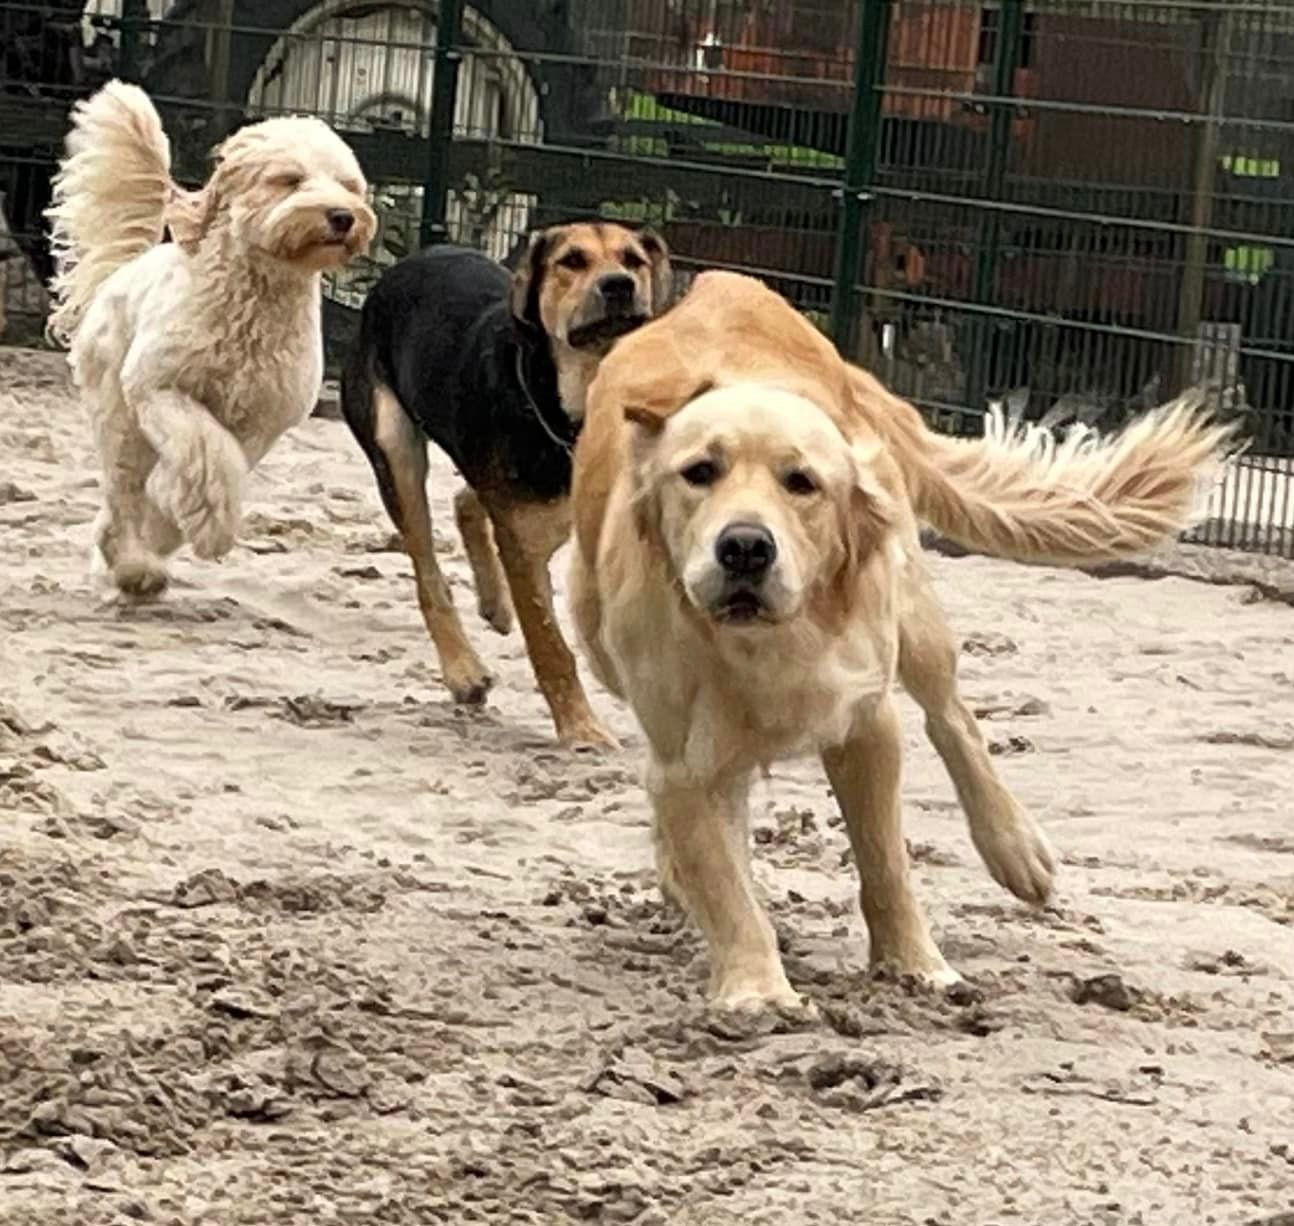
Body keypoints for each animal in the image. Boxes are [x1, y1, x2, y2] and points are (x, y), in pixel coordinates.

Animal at [45, 80, 374, 597]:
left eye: (348, 185)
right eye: (290, 179)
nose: (342, 215)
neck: (256, 300)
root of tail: (121, 272)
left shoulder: (264, 418)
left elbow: (220, 464)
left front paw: (179, 512)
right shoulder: (159, 388)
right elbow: (207, 454)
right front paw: (207, 524)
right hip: (120, 419)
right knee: (123, 494)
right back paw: (133, 566)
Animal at [340, 222, 671, 747]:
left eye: (633, 259)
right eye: (572, 261)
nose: (618, 285)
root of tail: (410, 261)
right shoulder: (523, 543)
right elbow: (549, 641)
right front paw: (580, 728)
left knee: (467, 500)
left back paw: (493, 604)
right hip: (394, 446)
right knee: (429, 573)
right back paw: (463, 670)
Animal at [570, 270, 1232, 1013]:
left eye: (802, 482)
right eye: (699, 472)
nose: (744, 548)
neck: (770, 640)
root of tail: (722, 285)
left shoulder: (867, 721)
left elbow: (885, 860)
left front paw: (916, 966)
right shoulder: (682, 762)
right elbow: (723, 879)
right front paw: (757, 988)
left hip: (912, 610)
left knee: (955, 720)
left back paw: (1015, 849)